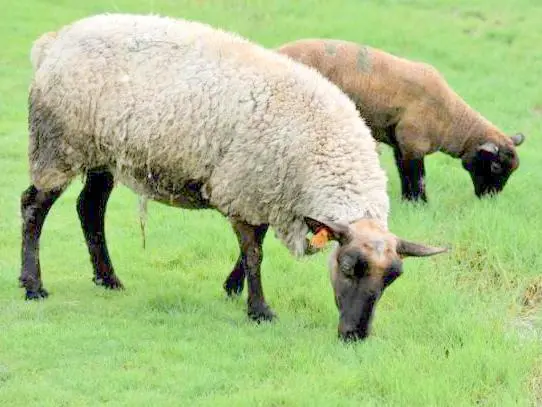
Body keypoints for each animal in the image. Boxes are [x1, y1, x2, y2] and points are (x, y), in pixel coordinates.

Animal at [21, 14, 448, 342]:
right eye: (346, 268)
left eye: (391, 280)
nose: (355, 335)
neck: (322, 152)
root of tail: (52, 42)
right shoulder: (245, 186)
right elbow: (255, 253)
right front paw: (259, 310)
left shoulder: (263, 191)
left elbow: (250, 250)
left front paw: (232, 288)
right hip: (58, 143)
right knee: (33, 207)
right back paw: (33, 286)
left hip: (103, 152)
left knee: (90, 208)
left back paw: (108, 279)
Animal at [276, 39, 528, 202]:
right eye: (495, 166)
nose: (490, 199)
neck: (450, 117)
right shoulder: (414, 142)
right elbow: (418, 177)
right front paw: (421, 203)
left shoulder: (401, 143)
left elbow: (404, 174)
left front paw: (408, 202)